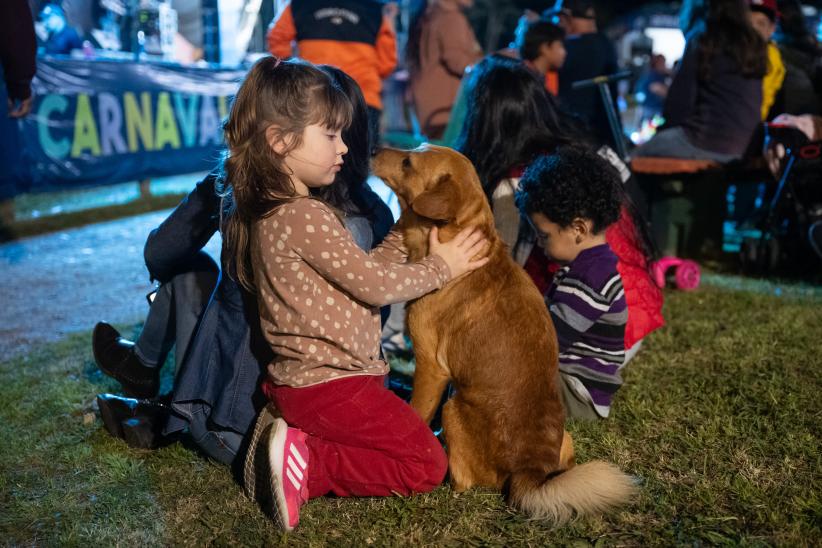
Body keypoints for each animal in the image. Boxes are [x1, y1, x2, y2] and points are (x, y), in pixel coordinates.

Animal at [374, 143, 636, 520]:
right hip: (565, 441)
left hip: (453, 408)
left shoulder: (431, 367)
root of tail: (530, 470)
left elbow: (418, 414)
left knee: (462, 483)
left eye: (408, 162)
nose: (374, 149)